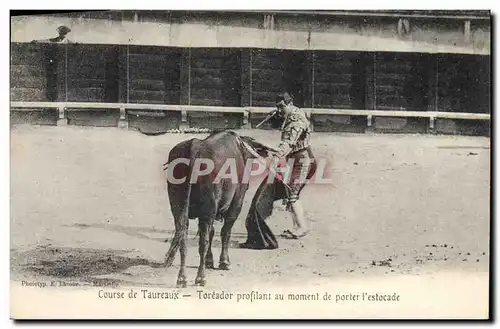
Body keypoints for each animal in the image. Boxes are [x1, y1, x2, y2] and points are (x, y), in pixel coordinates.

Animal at [162, 129, 278, 286]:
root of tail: (195, 147)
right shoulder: (236, 203)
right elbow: (225, 232)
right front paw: (224, 261)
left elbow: (212, 233)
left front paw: (210, 260)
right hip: (208, 210)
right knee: (203, 241)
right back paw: (201, 277)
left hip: (179, 208)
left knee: (183, 237)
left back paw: (182, 278)